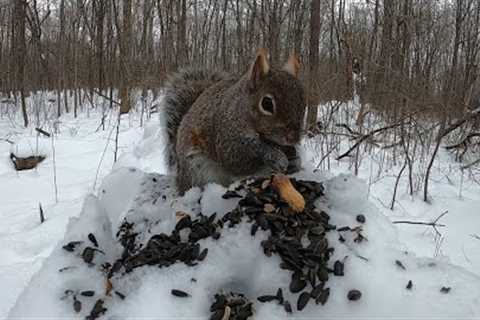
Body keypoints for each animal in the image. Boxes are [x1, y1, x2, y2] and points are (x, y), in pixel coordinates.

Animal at [164, 48, 308, 194]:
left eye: (303, 103)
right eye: (267, 104)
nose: (293, 138)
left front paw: (296, 161)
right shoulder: (226, 134)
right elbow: (237, 158)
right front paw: (275, 156)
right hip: (195, 168)